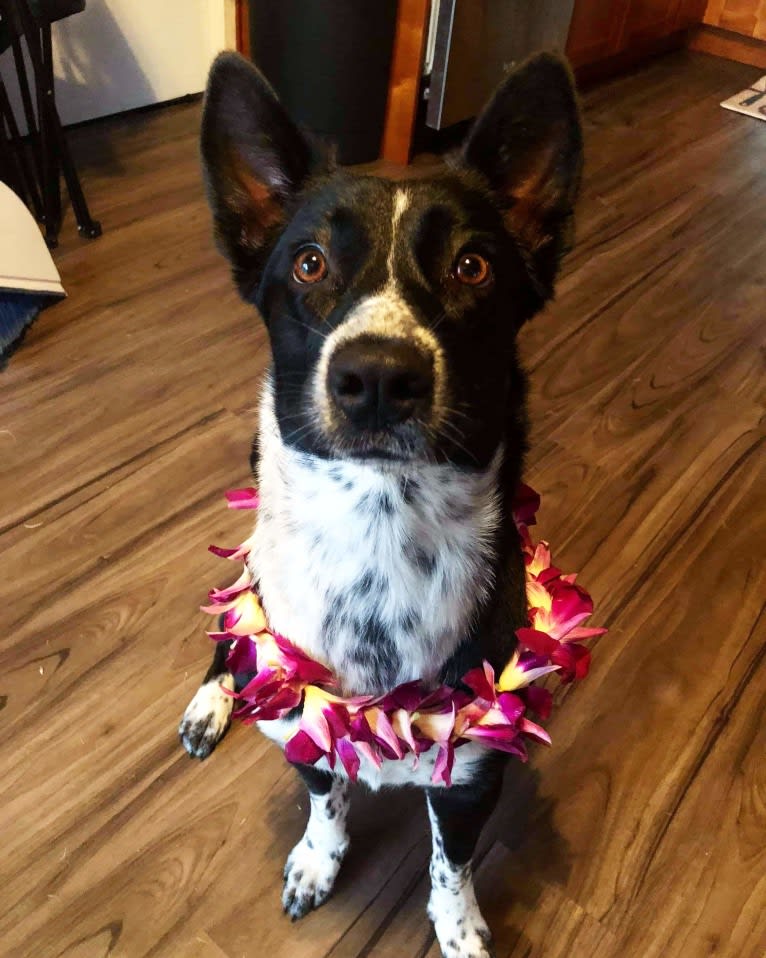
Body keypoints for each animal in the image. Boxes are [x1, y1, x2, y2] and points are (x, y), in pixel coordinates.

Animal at [180, 50, 584, 958]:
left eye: (473, 267)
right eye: (308, 264)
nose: (375, 376)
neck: (380, 530)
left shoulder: (472, 779)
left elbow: (450, 864)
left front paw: (459, 928)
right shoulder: (306, 731)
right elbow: (326, 800)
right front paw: (316, 862)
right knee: (232, 631)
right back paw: (211, 699)